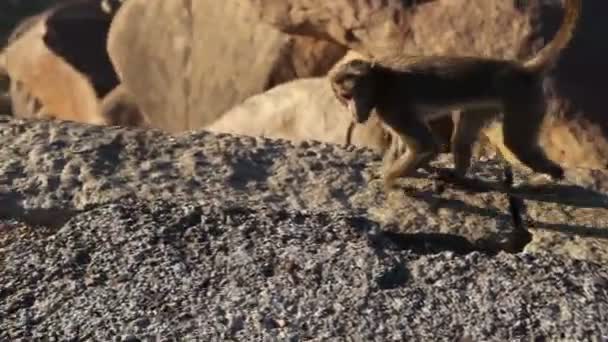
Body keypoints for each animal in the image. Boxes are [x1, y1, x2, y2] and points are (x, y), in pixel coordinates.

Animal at [328, 0, 580, 191]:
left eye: (351, 95)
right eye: (344, 98)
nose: (354, 113)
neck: (379, 79)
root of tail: (522, 69)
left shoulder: (391, 105)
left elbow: (426, 146)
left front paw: (388, 179)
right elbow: (413, 144)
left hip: (523, 98)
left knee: (517, 143)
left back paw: (552, 175)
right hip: (490, 103)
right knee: (464, 135)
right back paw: (459, 175)